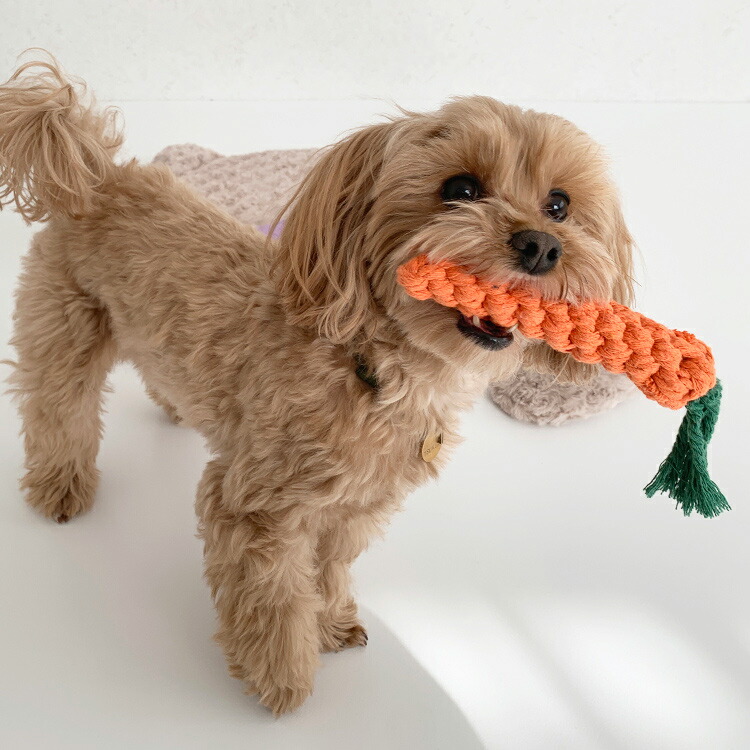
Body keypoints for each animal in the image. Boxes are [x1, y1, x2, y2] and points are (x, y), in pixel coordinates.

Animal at [0, 60, 636, 716]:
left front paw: (328, 622)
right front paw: (282, 677)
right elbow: (275, 598)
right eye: (460, 189)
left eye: (559, 205)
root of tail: (98, 174)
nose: (541, 245)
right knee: (58, 409)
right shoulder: (255, 509)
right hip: (64, 328)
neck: (372, 371)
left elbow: (328, 571)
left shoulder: (355, 509)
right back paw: (60, 486)